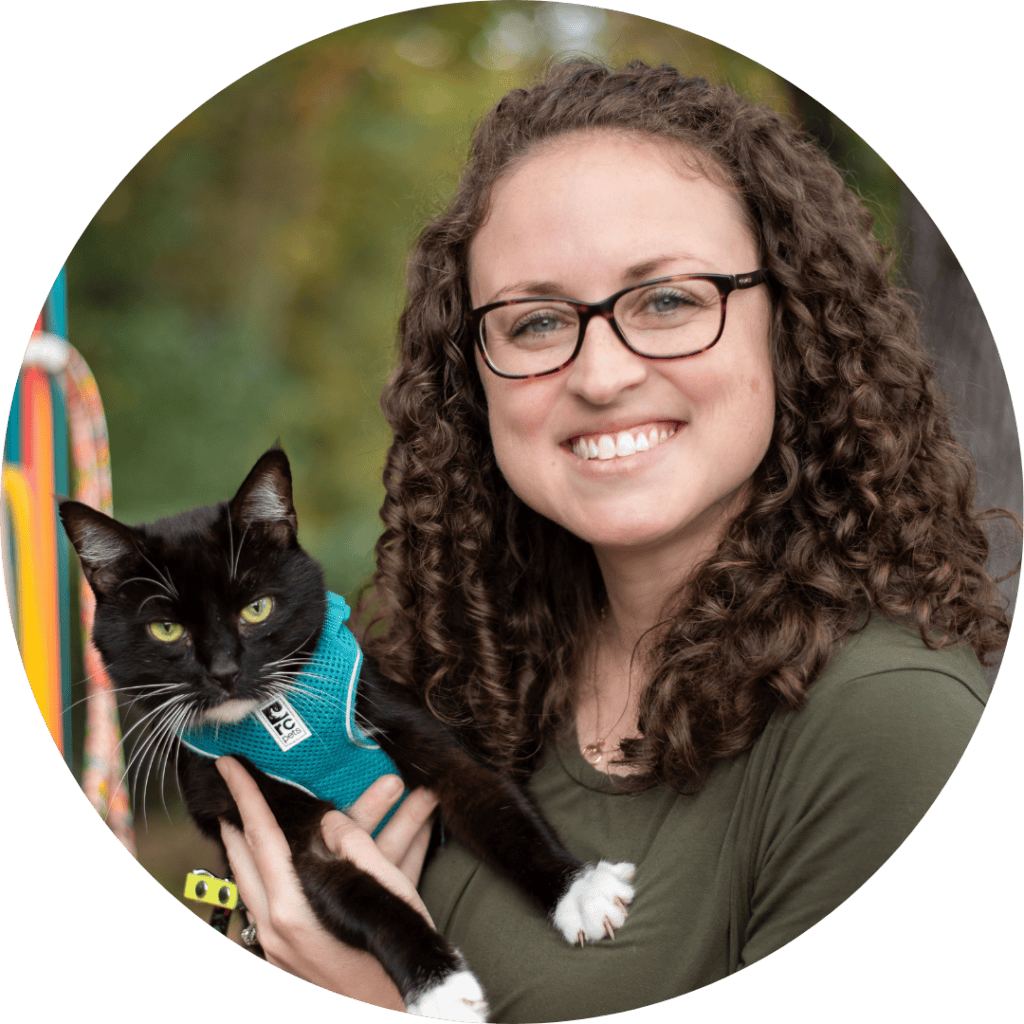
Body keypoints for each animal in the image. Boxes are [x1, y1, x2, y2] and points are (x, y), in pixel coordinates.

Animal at [59, 450, 630, 1024]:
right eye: (166, 631)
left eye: (257, 609)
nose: (223, 670)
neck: (285, 722)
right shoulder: (262, 819)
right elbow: (360, 894)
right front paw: (440, 986)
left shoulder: (415, 729)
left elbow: (501, 809)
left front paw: (580, 888)